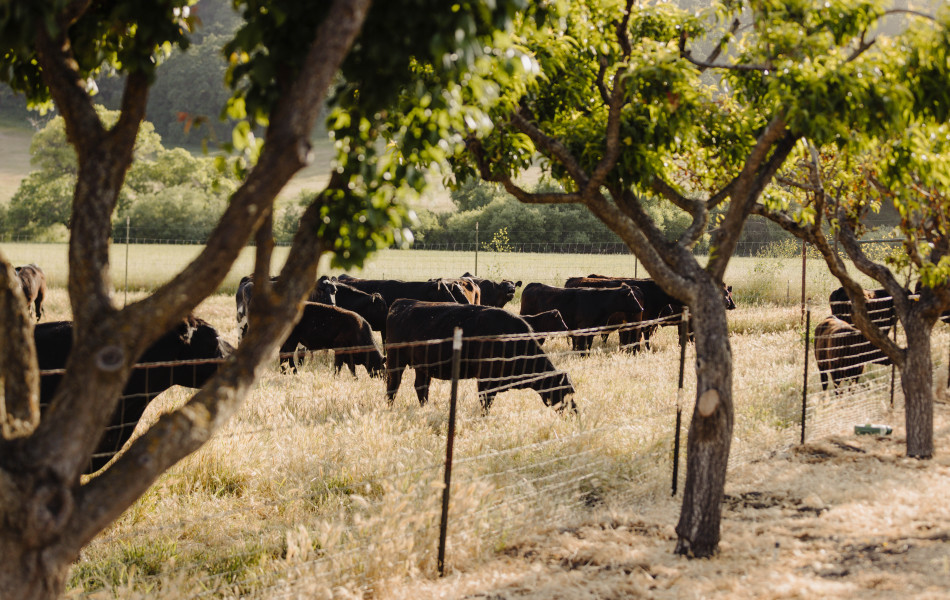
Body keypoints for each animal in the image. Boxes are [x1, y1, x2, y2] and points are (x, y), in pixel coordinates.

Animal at [384, 300, 576, 412]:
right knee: (393, 385)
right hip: (396, 360)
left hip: (422, 366)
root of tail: (402, 303)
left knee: (421, 387)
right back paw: (390, 407)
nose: (575, 412)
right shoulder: (485, 380)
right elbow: (486, 404)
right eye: (565, 391)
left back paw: (424, 407)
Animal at [520, 282, 648, 354]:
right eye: (630, 296)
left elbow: (588, 345)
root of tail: (534, 284)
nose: (641, 308)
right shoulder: (583, 327)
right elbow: (582, 345)